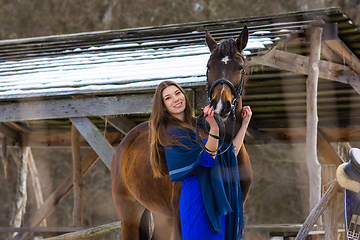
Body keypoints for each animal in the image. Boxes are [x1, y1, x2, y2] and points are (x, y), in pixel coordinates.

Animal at [111, 25, 252, 239]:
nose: (220, 107)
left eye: (240, 67)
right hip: (130, 218)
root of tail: (126, 142)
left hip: (162, 218)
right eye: (208, 67)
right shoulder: (179, 219)